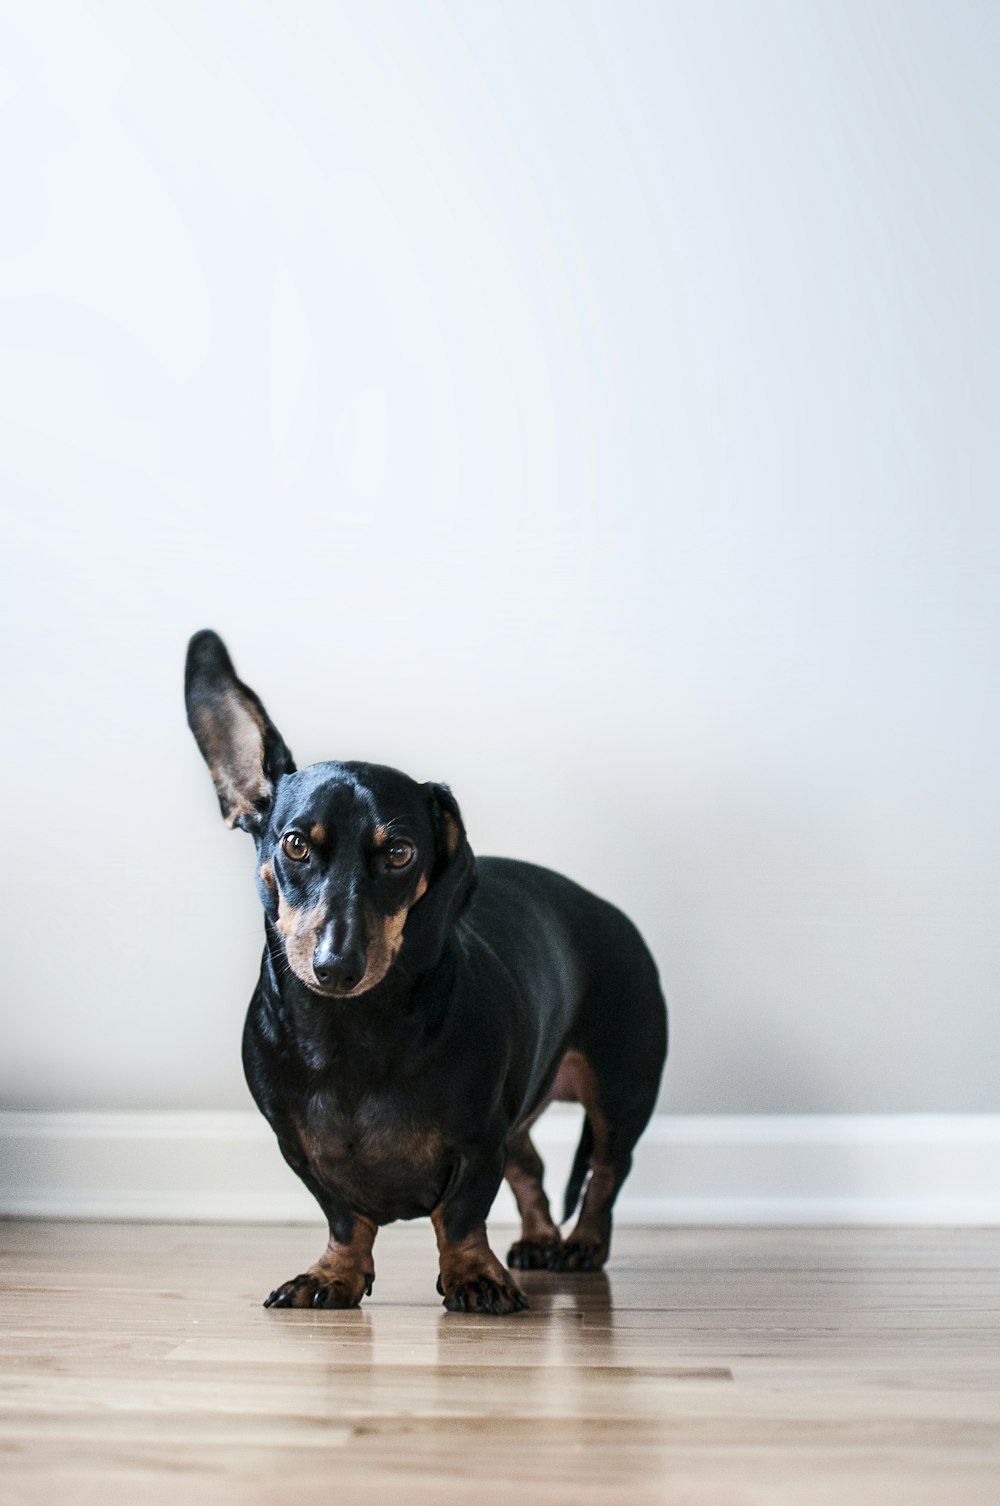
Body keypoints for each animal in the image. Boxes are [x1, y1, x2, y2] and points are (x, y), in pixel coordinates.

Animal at [183, 629, 668, 1313]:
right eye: (295, 844)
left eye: (399, 852)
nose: (336, 966)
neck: (350, 1032)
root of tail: (607, 909)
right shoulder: (299, 1149)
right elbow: (345, 1218)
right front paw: (334, 1274)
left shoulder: (478, 1137)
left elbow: (461, 1213)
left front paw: (474, 1275)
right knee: (532, 1169)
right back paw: (540, 1239)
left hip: (620, 1091)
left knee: (604, 1172)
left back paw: (580, 1246)